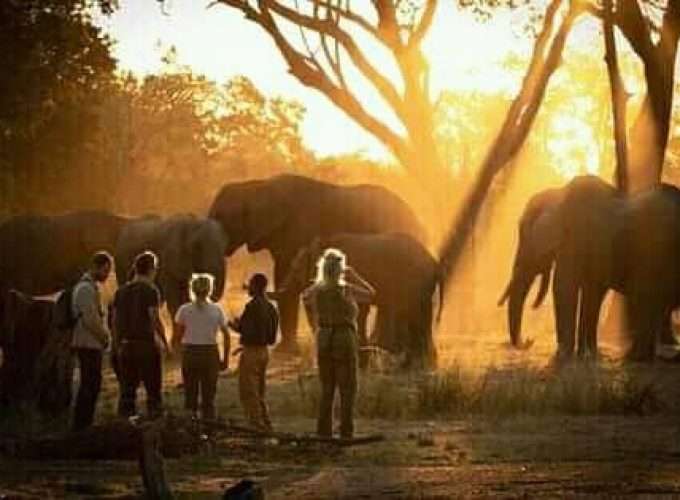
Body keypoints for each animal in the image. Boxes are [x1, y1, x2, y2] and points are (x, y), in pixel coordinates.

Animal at [280, 232, 444, 370]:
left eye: (295, 269)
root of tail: (434, 263)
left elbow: (359, 311)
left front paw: (360, 364)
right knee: (421, 317)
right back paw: (420, 365)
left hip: (414, 283)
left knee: (414, 316)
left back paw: (414, 365)